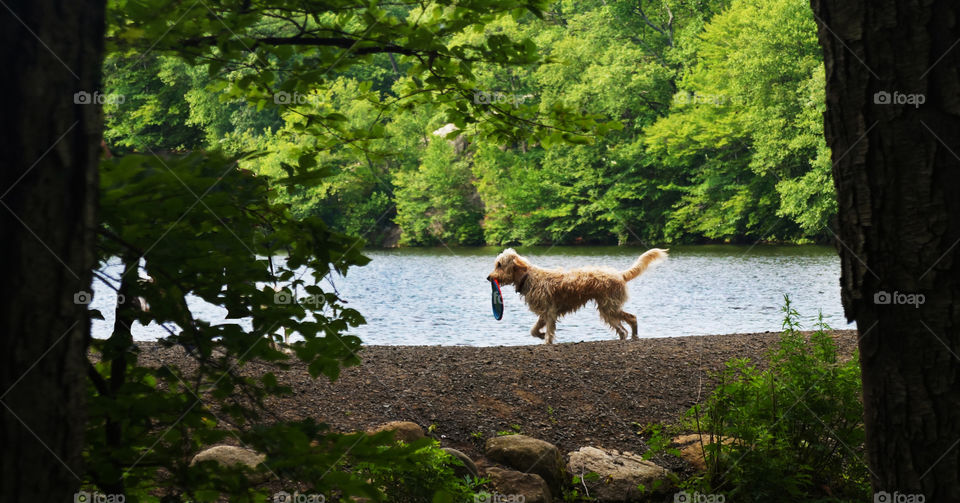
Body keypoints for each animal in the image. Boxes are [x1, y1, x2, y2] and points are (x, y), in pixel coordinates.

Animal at [488, 249, 668, 344]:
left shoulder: (550, 312)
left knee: (632, 318)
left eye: (499, 264)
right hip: (607, 310)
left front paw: (546, 340)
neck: (528, 277)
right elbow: (533, 330)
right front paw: (541, 335)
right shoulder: (545, 313)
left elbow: (549, 331)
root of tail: (619, 274)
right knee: (622, 329)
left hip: (609, 307)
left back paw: (635, 336)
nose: (488, 277)